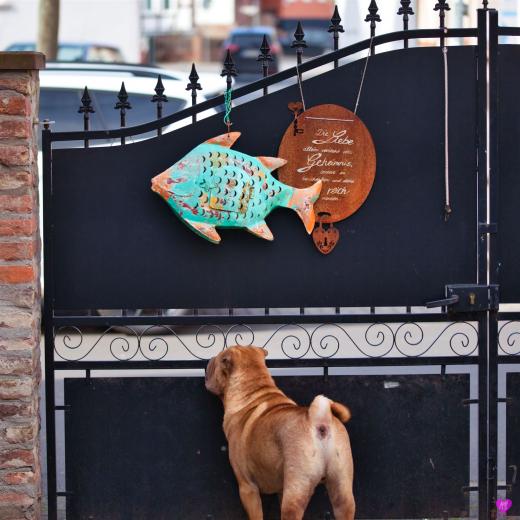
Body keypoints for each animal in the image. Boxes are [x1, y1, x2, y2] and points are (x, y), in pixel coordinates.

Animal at [205, 345, 355, 520]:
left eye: (217, 360)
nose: (210, 360)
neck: (253, 389)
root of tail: (318, 420)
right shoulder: (280, 490)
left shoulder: (247, 487)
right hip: (342, 490)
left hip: (295, 493)